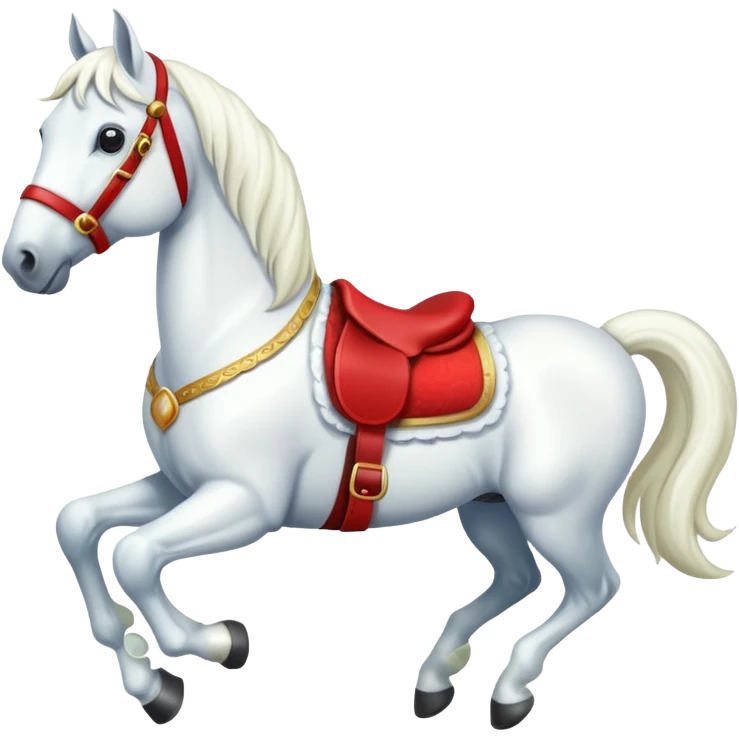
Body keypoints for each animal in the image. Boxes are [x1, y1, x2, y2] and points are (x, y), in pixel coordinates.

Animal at [3, 9, 736, 730]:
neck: (237, 333)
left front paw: (213, 644)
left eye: (109, 136)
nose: (24, 261)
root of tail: (609, 341)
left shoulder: (245, 502)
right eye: (45, 129)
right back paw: (437, 677)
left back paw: (508, 691)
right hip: (489, 507)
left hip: (557, 512)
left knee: (593, 587)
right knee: (518, 579)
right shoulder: (183, 485)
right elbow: (78, 525)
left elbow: (134, 555)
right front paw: (146, 673)